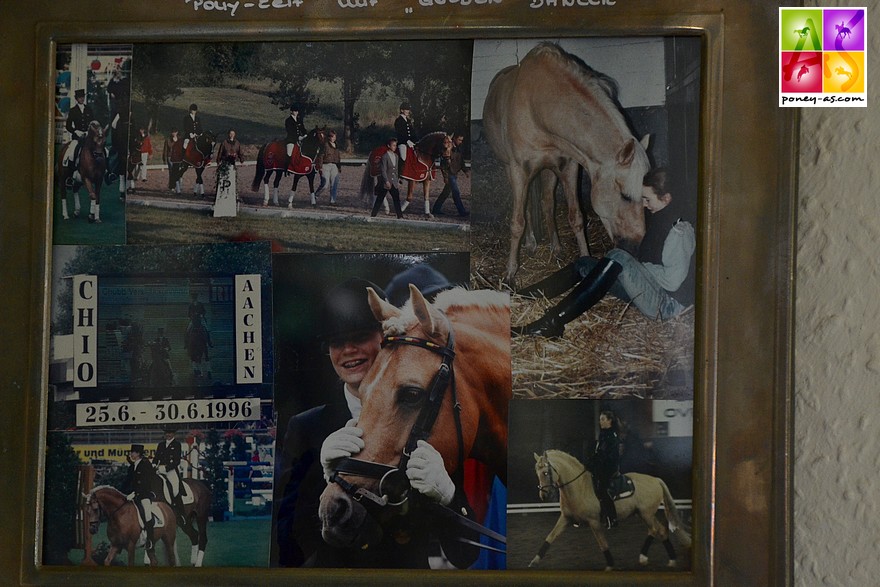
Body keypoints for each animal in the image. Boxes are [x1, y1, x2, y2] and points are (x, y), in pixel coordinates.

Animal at [482, 42, 652, 288]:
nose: (634, 247)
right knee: (526, 208)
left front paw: (584, 258)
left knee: (547, 203)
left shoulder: (569, 165)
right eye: (624, 194)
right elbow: (517, 222)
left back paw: (556, 247)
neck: (538, 106)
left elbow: (576, 217)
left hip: (549, 171)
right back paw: (530, 244)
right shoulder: (519, 170)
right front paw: (510, 273)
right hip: (512, 169)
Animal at [524, 452, 692, 572]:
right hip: (643, 514)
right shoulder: (565, 518)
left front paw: (610, 565)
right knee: (658, 530)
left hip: (647, 514)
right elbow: (550, 537)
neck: (579, 487)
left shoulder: (594, 521)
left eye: (546, 472)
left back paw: (661, 559)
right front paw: (534, 561)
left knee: (657, 529)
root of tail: (655, 479)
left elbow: (602, 543)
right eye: (537, 472)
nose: (544, 495)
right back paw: (652, 559)